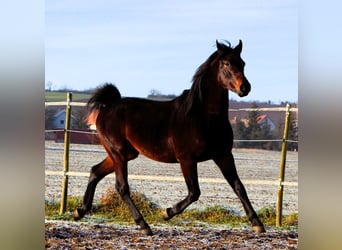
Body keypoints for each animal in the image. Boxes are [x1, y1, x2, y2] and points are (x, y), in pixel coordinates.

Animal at [75, 40, 266, 235]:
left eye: (242, 63)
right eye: (226, 63)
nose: (245, 88)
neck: (203, 116)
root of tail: (107, 107)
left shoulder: (223, 155)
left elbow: (239, 187)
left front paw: (257, 224)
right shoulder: (186, 159)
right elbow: (194, 192)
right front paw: (166, 213)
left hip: (124, 154)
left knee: (95, 171)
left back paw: (79, 211)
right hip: (118, 153)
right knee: (122, 187)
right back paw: (144, 225)